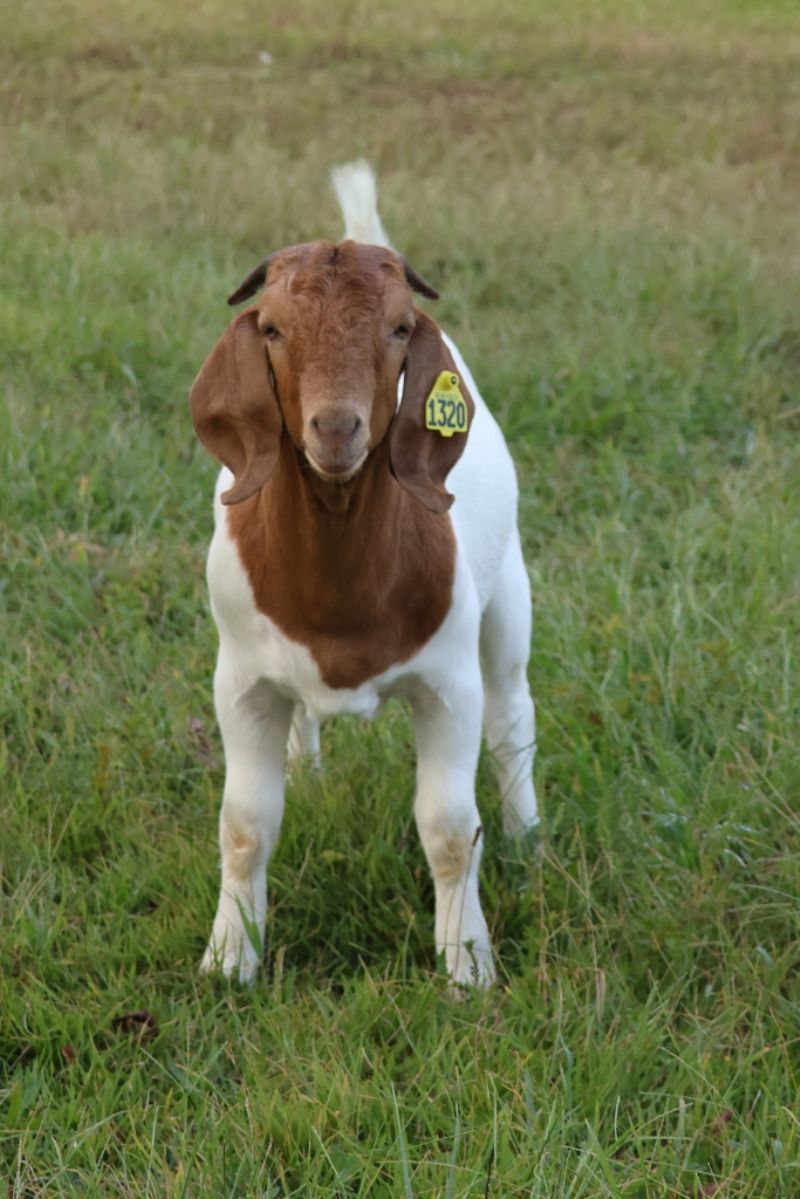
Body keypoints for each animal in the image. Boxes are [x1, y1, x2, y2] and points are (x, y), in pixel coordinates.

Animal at [189, 159, 537, 983]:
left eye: (400, 328)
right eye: (272, 327)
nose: (336, 428)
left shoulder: (449, 685)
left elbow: (450, 829)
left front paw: (468, 965)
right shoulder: (241, 681)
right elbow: (244, 823)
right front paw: (230, 958)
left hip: (509, 592)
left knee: (513, 714)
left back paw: (527, 837)